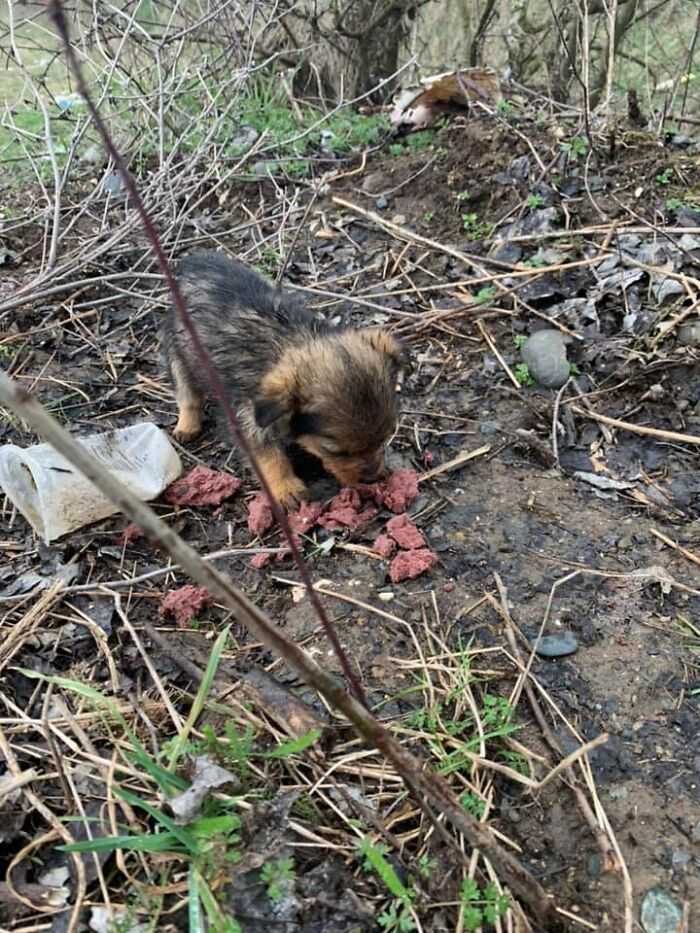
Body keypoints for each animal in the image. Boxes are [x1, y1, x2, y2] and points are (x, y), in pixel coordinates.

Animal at [162, 251, 402, 506]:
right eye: (335, 451)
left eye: (385, 438)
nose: (372, 479)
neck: (293, 341)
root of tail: (195, 260)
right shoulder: (249, 420)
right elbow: (269, 456)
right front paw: (286, 488)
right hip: (177, 353)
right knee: (187, 396)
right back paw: (187, 425)